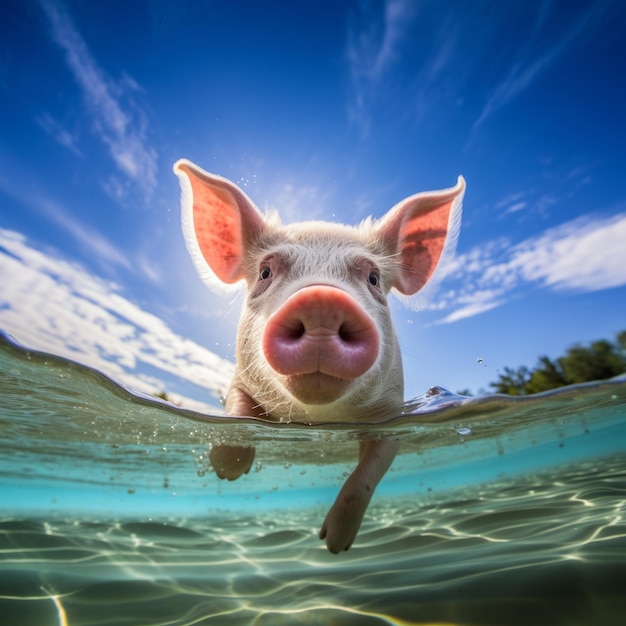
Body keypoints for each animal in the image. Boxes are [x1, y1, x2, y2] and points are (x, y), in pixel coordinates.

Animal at [173, 160, 460, 552]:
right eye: (265, 271)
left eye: (373, 277)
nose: (322, 301)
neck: (320, 421)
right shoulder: (239, 381)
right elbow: (238, 416)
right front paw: (229, 471)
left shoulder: (393, 417)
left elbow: (370, 472)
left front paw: (334, 544)